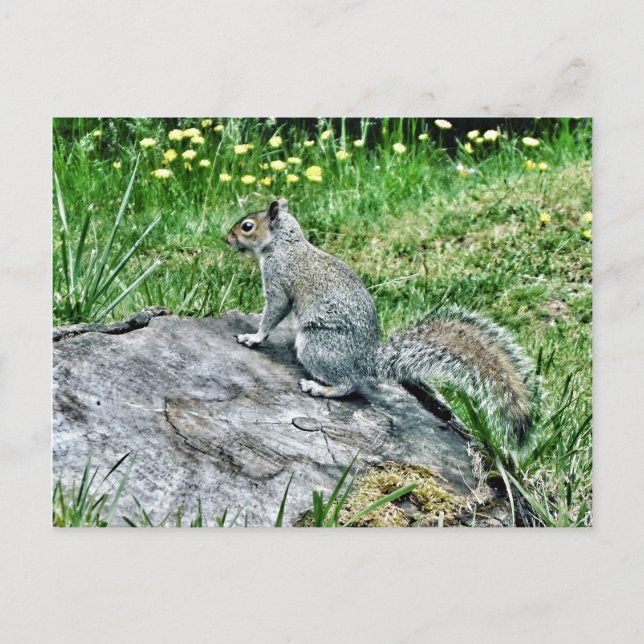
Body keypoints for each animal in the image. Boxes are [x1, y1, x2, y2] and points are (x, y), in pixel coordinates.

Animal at [226, 198, 537, 442]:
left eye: (247, 226)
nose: (226, 238)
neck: (284, 244)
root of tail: (366, 361)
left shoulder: (279, 279)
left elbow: (273, 312)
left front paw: (253, 337)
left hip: (317, 344)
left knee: (347, 384)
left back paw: (319, 387)